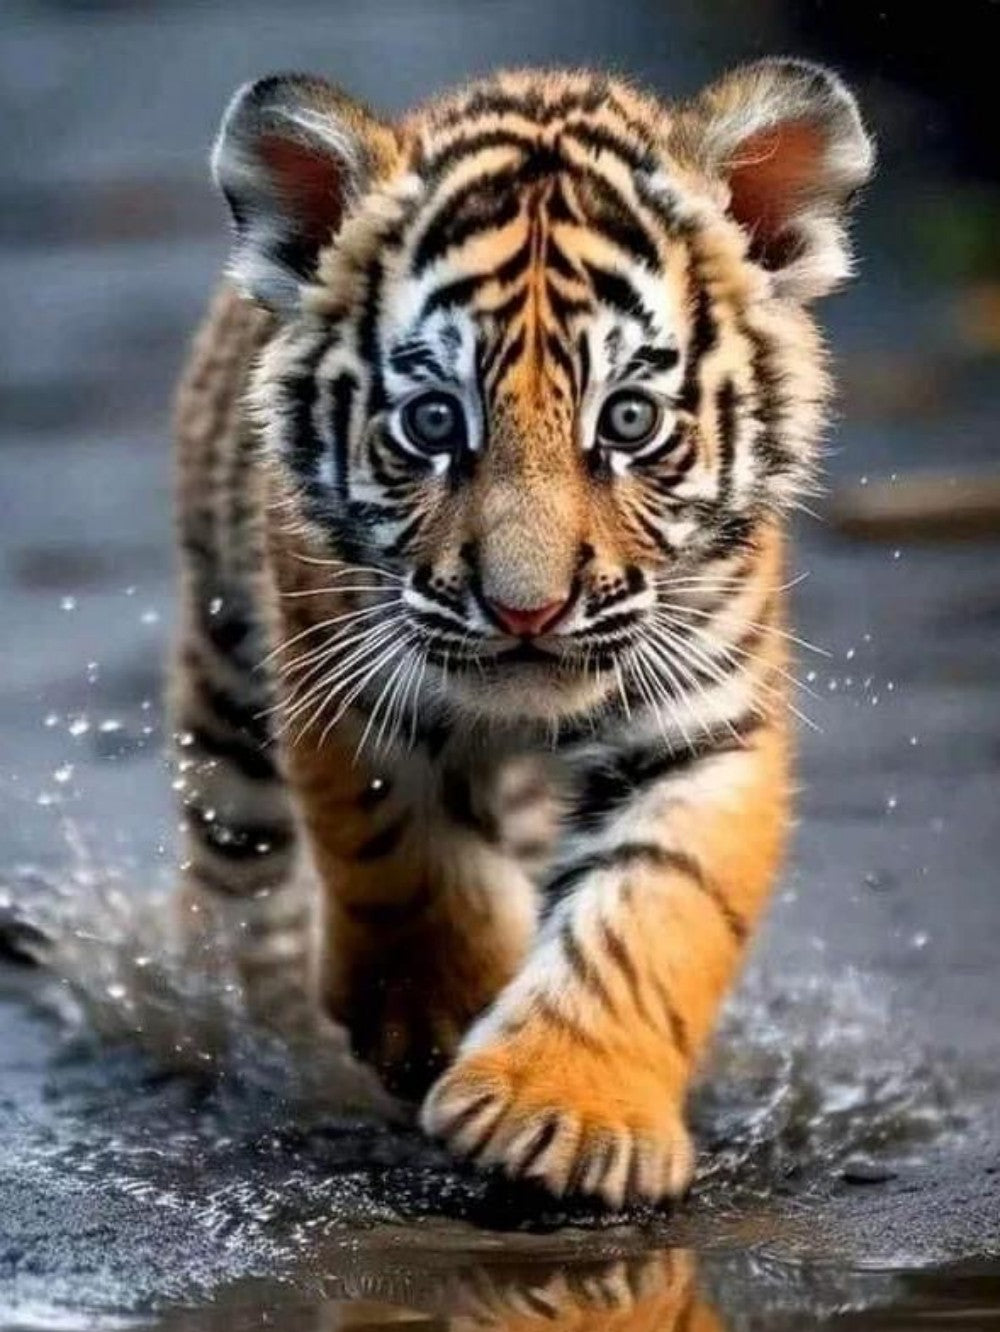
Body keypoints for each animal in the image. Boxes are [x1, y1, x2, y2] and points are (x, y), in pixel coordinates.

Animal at [171, 60, 873, 1207]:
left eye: (628, 421)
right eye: (433, 423)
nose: (525, 610)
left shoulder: (703, 718)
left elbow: (654, 903)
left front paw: (561, 1115)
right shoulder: (347, 671)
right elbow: (402, 851)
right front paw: (441, 1016)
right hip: (228, 681)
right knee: (234, 873)